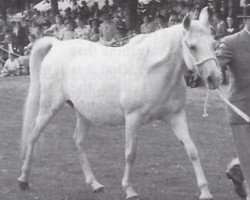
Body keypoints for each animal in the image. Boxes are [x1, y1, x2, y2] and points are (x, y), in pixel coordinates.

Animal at [18, 8, 221, 200]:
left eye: (214, 44)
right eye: (192, 46)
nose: (214, 79)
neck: (150, 70)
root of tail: (57, 45)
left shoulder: (176, 116)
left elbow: (192, 149)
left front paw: (205, 191)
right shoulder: (132, 118)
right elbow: (130, 154)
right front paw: (129, 190)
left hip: (83, 113)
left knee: (78, 141)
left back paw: (95, 184)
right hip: (49, 107)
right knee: (33, 136)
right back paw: (23, 180)